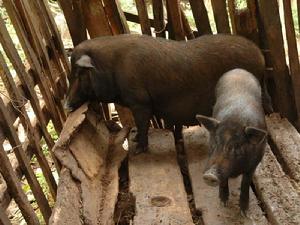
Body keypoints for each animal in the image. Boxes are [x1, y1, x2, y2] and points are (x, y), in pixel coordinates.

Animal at [65, 34, 272, 154]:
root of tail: (261, 57)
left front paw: (137, 150)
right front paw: (134, 140)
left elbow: (142, 124)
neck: (111, 66)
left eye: (78, 73)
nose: (66, 105)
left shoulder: (140, 102)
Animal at [197, 68, 268, 214]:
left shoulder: (255, 162)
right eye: (214, 143)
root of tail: (238, 69)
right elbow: (224, 181)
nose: (209, 175)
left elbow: (245, 182)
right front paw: (223, 203)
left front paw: (244, 212)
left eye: (237, 146)